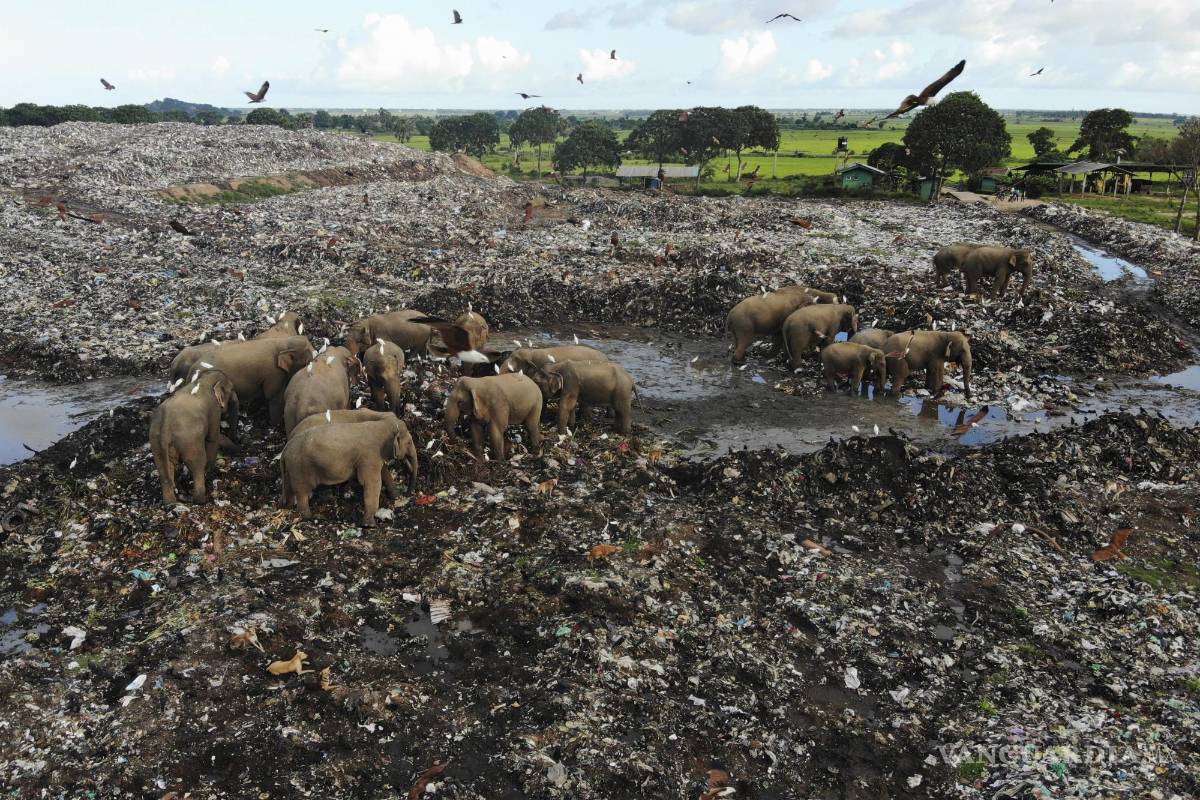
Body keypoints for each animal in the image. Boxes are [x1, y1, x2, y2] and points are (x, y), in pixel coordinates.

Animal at [149, 369, 237, 504]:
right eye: (232, 388)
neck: (204, 379)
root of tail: (166, 423)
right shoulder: (214, 410)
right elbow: (213, 437)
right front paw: (210, 470)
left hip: (156, 440)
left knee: (164, 468)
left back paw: (170, 502)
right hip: (189, 440)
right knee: (197, 463)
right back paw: (200, 500)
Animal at [280, 416, 417, 526]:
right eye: (409, 442)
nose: (407, 493)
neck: (381, 425)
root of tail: (284, 450)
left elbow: (384, 473)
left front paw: (396, 497)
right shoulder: (369, 456)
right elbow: (372, 483)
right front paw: (369, 525)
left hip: (291, 469)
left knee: (289, 488)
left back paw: (288, 507)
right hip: (300, 468)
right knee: (302, 493)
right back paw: (310, 518)